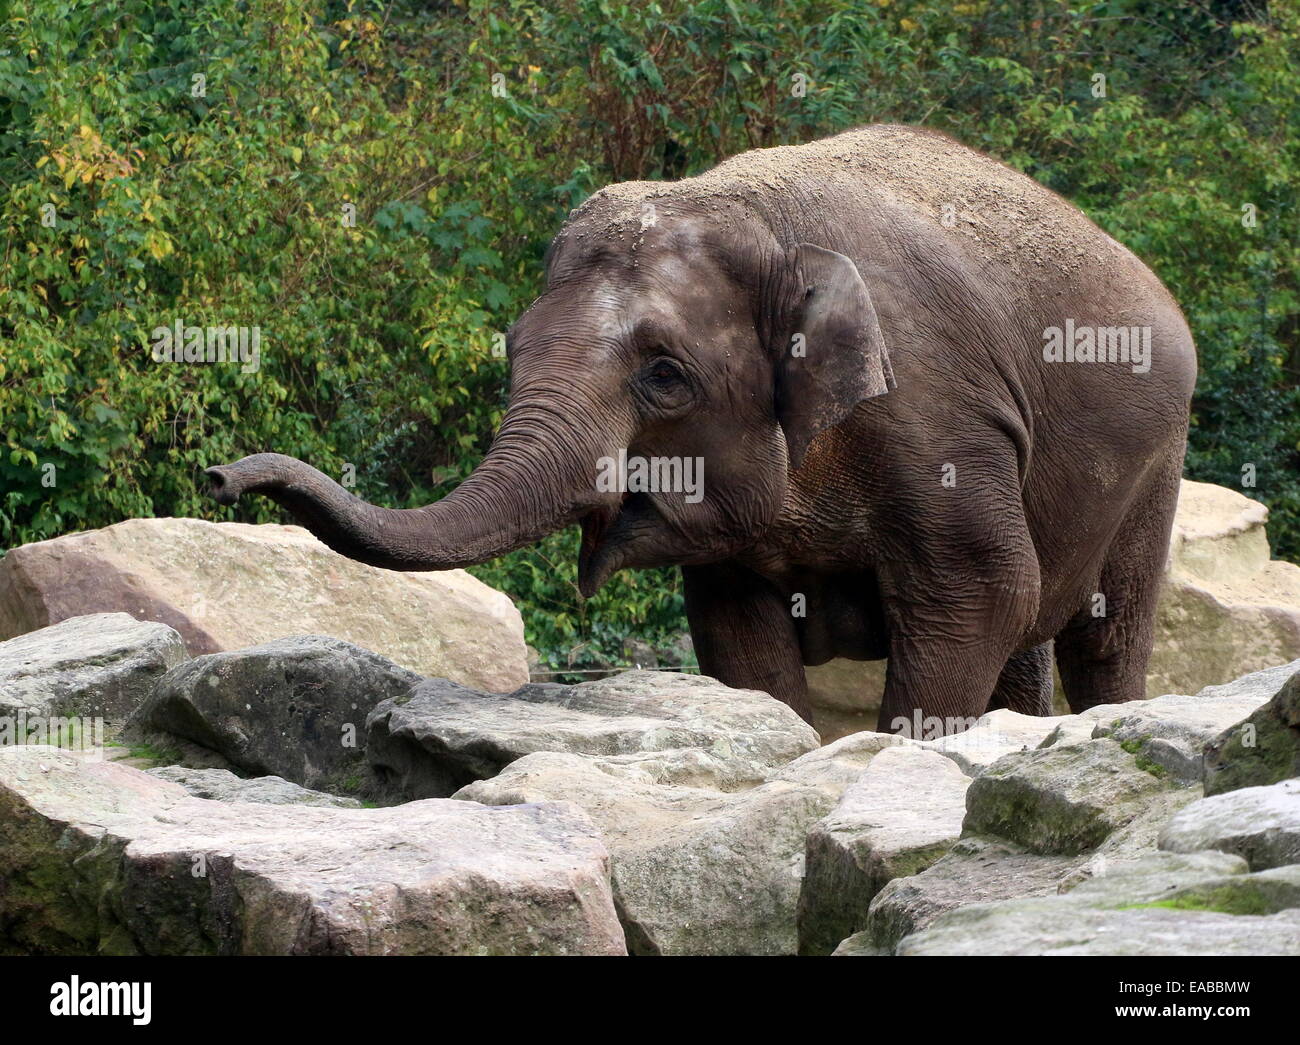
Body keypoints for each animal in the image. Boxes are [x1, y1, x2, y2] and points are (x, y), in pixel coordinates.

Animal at [205, 124, 1196, 733]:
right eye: (513, 350)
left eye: (664, 375)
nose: (221, 478)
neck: (752, 215)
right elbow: (735, 632)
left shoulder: (936, 415)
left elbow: (982, 590)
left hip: (1158, 462)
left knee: (1101, 635)